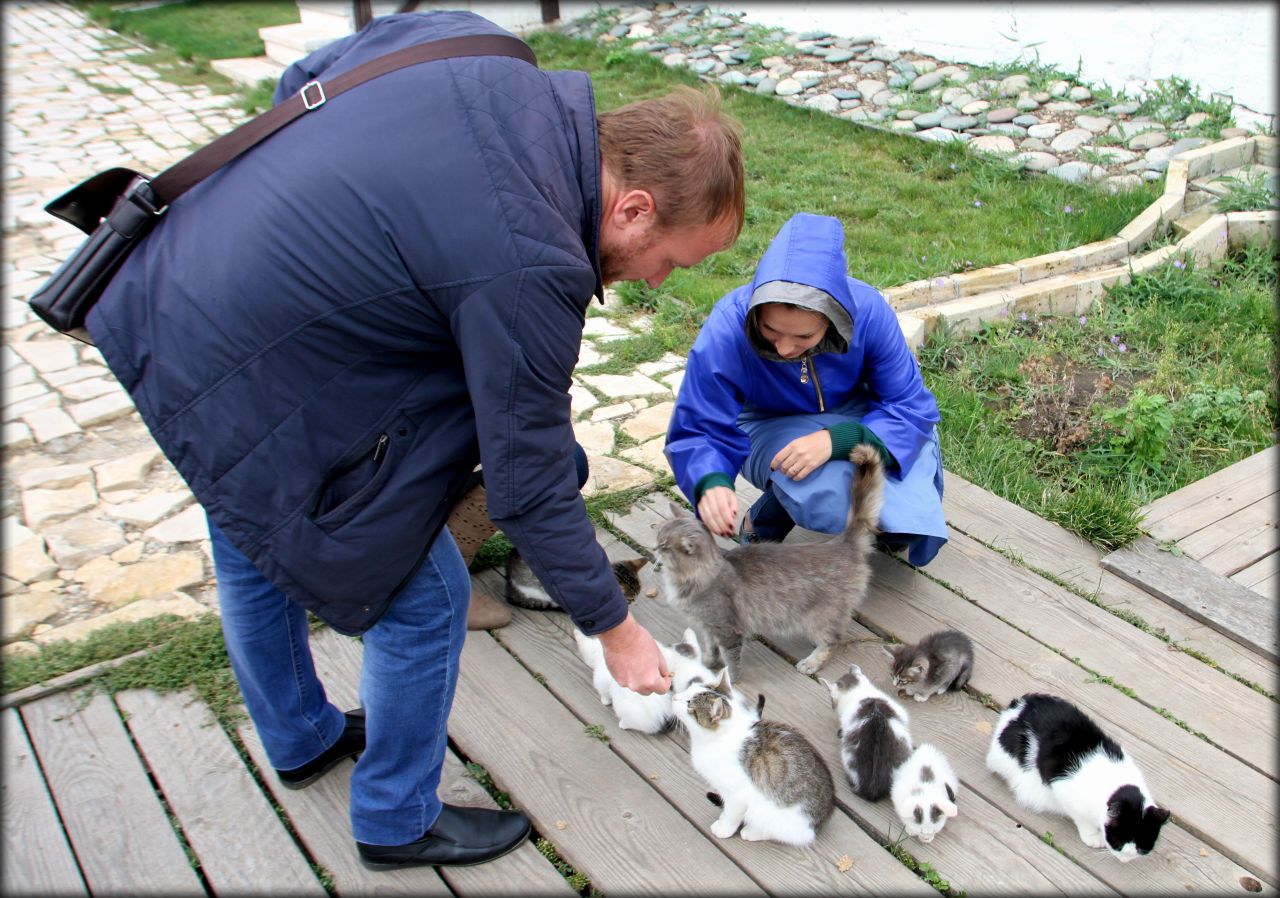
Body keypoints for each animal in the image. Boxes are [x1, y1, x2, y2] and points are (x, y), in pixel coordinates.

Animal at [655, 447, 885, 680]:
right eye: (658, 538)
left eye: (664, 545)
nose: (655, 548)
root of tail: (843, 542)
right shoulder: (708, 627)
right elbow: (710, 649)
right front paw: (707, 664)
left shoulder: (728, 630)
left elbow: (731, 660)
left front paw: (730, 680)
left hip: (820, 617)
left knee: (833, 642)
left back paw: (810, 662)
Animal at [670, 670, 839, 849]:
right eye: (689, 688)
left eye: (689, 703)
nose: (674, 697)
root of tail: (821, 820)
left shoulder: (737, 794)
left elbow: (732, 814)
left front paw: (724, 829)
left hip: (770, 812)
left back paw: (753, 832)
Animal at [988, 690, 1172, 859]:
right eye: (1118, 842)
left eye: (1142, 847)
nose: (1125, 858)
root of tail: (1019, 705)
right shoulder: (1065, 791)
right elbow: (1081, 818)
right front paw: (1092, 836)